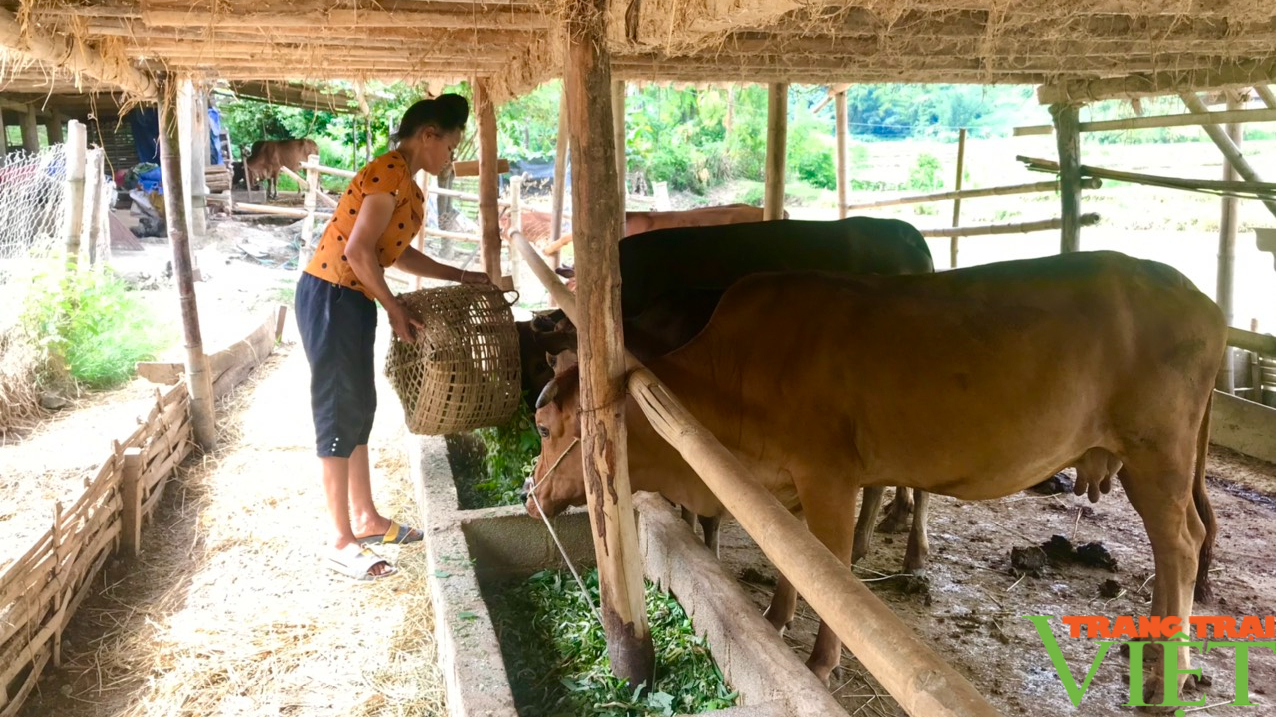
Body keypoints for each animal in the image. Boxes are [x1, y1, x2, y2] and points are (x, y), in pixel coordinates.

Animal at [528, 248, 1224, 699]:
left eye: (545, 426)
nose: (533, 494)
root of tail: (1202, 301)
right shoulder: (782, 486)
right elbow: (792, 561)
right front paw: (776, 619)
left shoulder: (829, 479)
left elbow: (828, 570)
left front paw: (818, 662)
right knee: (1173, 548)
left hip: (1157, 455)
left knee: (1182, 545)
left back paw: (1165, 672)